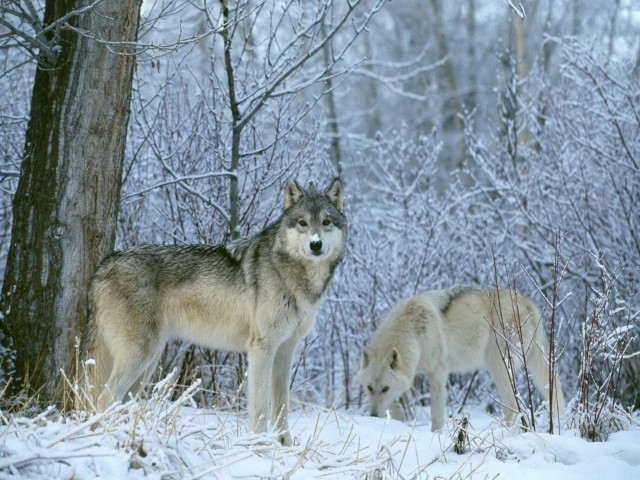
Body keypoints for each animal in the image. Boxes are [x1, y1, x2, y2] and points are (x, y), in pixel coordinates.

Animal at [83, 178, 346, 446]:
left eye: (326, 222)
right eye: (303, 223)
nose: (316, 244)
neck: (293, 275)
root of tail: (105, 264)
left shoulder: (286, 349)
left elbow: (281, 405)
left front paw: (284, 445)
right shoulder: (261, 348)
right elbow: (261, 406)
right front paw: (259, 445)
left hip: (147, 364)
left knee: (121, 402)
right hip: (140, 357)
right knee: (104, 398)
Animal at [358, 286, 565, 431]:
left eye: (385, 388)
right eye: (369, 388)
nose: (373, 415)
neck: (413, 333)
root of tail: (528, 302)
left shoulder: (438, 373)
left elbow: (436, 416)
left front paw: (435, 435)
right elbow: (395, 405)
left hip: (497, 365)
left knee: (512, 405)